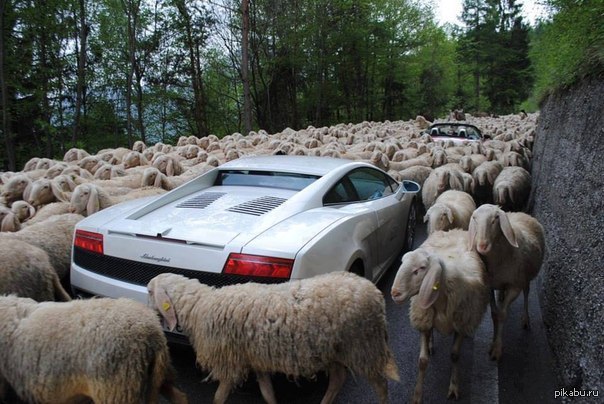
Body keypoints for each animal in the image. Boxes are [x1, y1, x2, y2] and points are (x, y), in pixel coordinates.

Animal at [149, 270, 398, 404]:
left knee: (380, 384)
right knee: (338, 378)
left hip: (363, 345)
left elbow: (218, 398)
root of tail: (374, 291)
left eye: (150, 291)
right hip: (332, 349)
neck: (199, 306)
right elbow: (267, 392)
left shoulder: (230, 362)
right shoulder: (255, 359)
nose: (149, 314)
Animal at [390, 229, 488, 402]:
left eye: (421, 268)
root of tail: (453, 230)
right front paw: (417, 395)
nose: (394, 293)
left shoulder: (462, 323)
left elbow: (455, 355)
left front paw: (454, 387)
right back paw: (430, 344)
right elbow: (422, 361)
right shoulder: (424, 319)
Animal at [468, 205, 548, 360]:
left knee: (526, 293)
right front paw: (493, 341)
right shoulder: (489, 286)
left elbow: (502, 315)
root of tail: (523, 213)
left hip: (525, 277)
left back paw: (525, 319)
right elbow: (494, 314)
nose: (482, 246)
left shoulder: (515, 286)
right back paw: (501, 296)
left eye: (496, 218)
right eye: (474, 218)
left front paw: (497, 348)